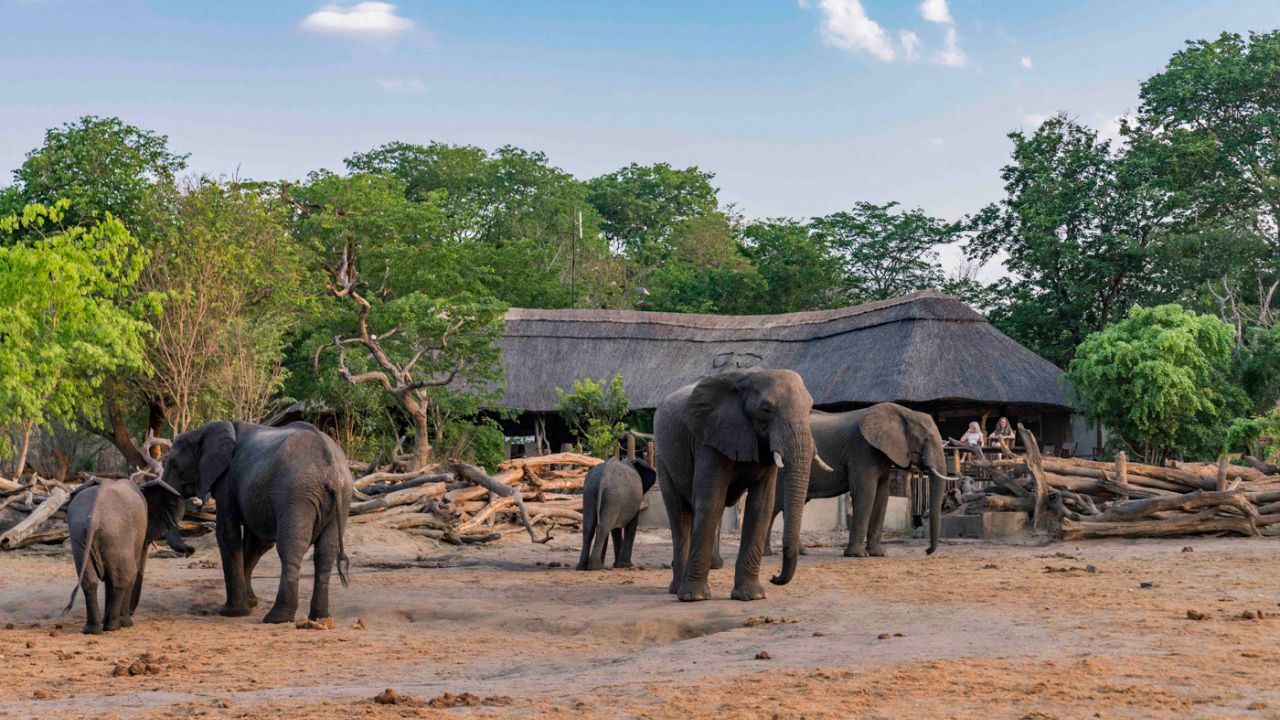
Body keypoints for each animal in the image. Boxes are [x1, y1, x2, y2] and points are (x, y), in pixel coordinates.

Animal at [63, 477, 189, 634]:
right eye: (148, 541)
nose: (132, 611)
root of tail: (94, 517)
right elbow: (128, 574)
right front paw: (125, 622)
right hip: (117, 534)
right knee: (124, 578)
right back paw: (116, 626)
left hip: (81, 534)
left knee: (90, 581)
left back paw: (93, 630)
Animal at [161, 420, 352, 624]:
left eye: (174, 465)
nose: (190, 550)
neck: (203, 430)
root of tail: (331, 468)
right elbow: (257, 543)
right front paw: (251, 603)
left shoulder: (228, 479)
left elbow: (227, 533)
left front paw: (232, 612)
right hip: (342, 496)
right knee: (326, 551)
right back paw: (320, 617)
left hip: (296, 493)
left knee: (291, 547)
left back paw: (277, 618)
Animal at [654, 368, 830, 602]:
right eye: (766, 410)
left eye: (810, 408)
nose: (774, 577)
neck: (747, 377)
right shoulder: (709, 437)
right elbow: (710, 502)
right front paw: (694, 597)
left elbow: (760, 506)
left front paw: (752, 596)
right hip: (662, 456)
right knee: (679, 514)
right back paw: (678, 589)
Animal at [765, 403, 957, 558]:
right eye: (925, 439)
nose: (926, 551)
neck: (904, 412)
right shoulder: (862, 449)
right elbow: (866, 493)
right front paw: (858, 555)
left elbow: (882, 496)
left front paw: (878, 554)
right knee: (774, 506)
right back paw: (769, 554)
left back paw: (800, 552)